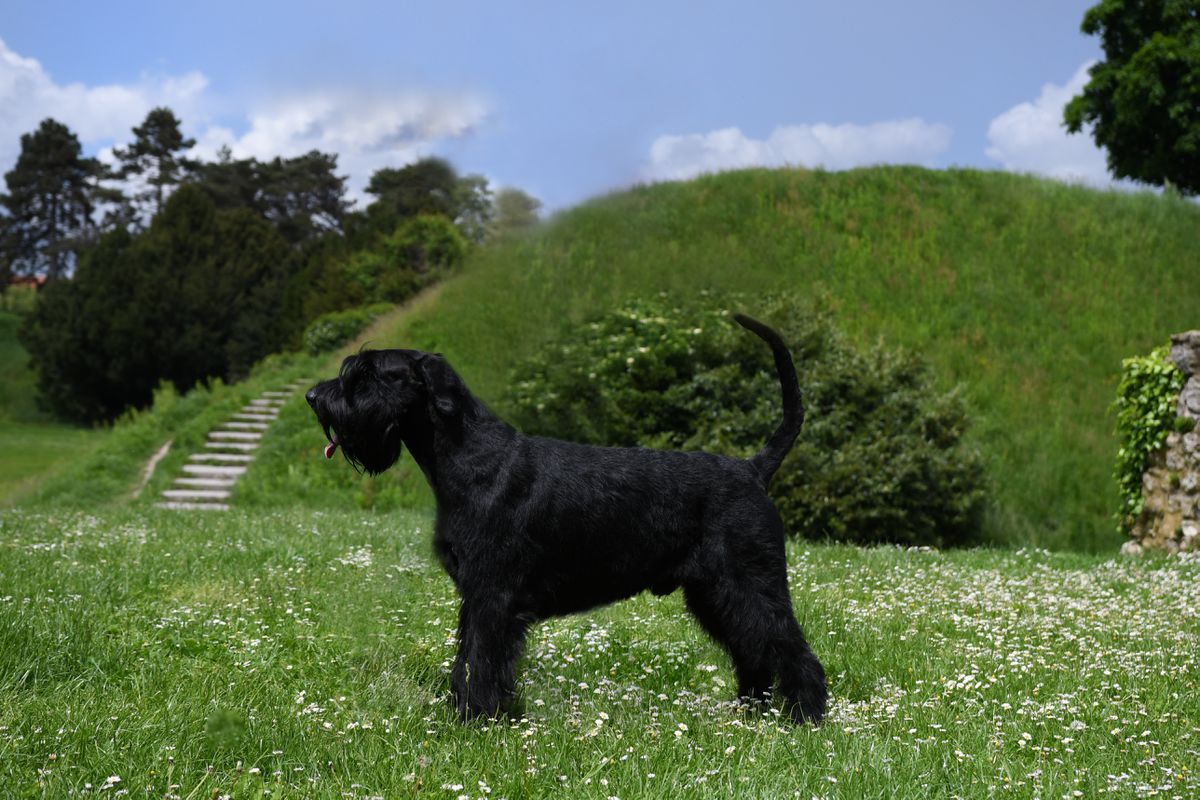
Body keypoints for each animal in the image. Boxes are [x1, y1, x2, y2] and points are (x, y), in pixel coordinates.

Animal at [307, 314, 825, 724]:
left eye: (369, 374)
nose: (314, 396)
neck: (468, 456)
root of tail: (752, 468)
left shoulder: (493, 595)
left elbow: (482, 659)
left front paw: (474, 720)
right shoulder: (475, 596)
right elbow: (468, 657)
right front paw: (467, 711)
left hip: (749, 582)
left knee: (790, 647)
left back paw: (806, 717)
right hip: (714, 594)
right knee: (753, 650)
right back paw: (749, 713)